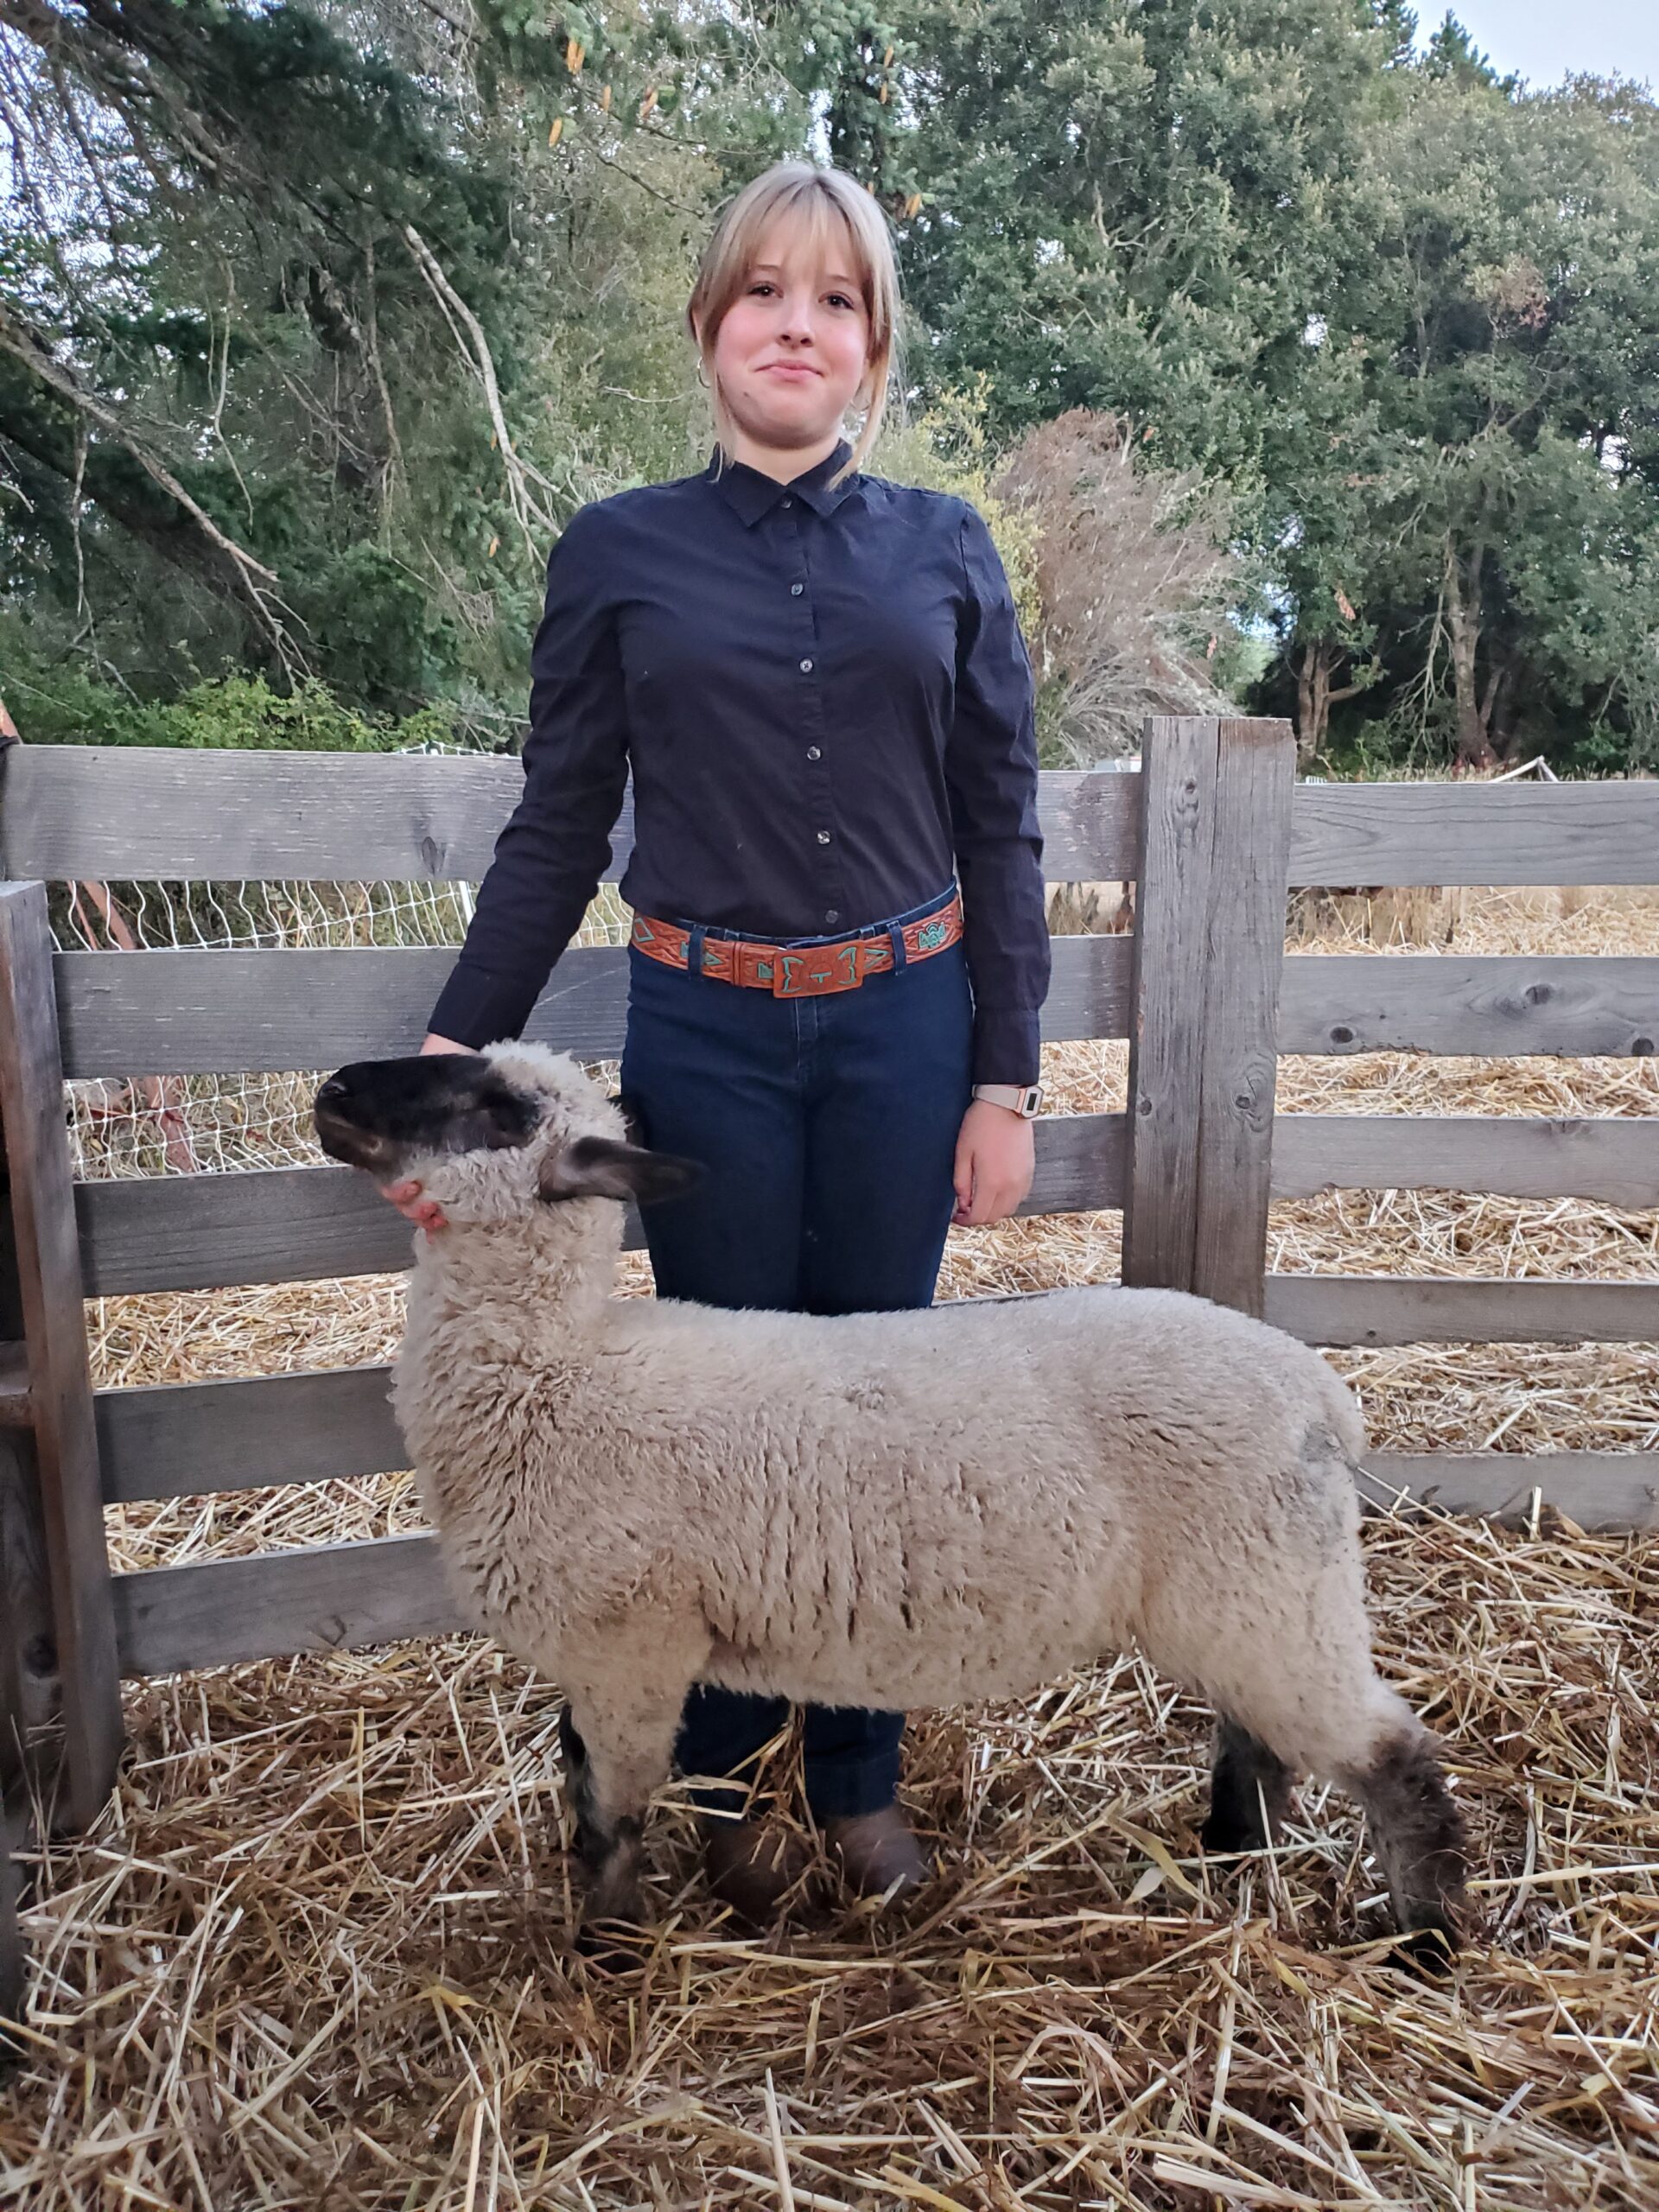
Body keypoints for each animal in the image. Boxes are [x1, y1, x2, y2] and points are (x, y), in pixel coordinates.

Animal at [312, 1042, 1468, 1959]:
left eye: (498, 1107)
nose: (333, 1089)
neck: (556, 1370)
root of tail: (1320, 1393)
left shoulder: (628, 1651)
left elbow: (612, 1811)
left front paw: (604, 1946)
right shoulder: (598, 1652)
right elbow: (574, 1777)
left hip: (1271, 1588)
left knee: (1392, 1756)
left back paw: (1428, 1939)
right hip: (1245, 1599)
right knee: (1259, 1736)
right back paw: (1230, 1852)